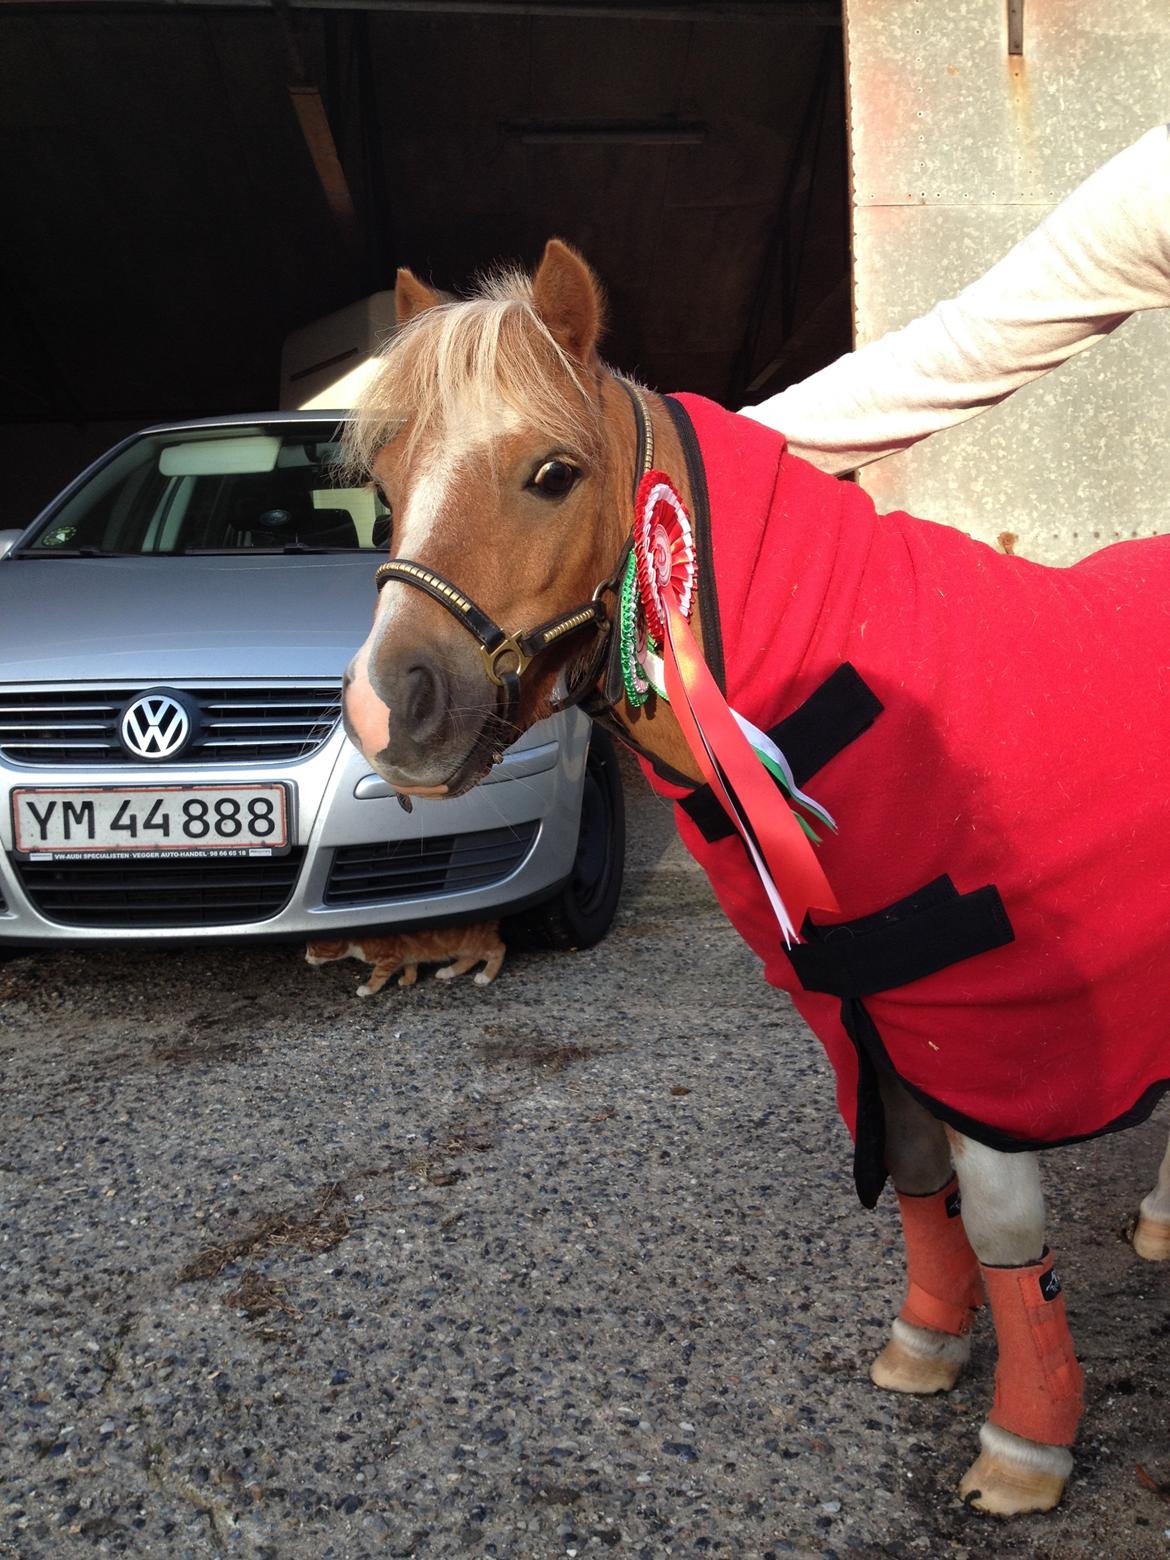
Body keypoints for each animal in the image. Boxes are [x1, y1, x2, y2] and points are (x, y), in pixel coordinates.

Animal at [304, 917, 505, 992]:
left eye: (312, 950)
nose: (305, 958)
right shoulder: (407, 953)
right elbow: (410, 967)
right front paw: (408, 979)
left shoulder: (389, 956)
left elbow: (378, 974)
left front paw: (368, 988)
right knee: (470, 958)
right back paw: (449, 971)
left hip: (471, 942)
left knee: (498, 949)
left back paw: (486, 976)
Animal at [338, 240, 1170, 1510]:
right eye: (385, 477)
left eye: (551, 473)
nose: (387, 711)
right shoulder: (865, 1010)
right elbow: (913, 1174)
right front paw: (926, 1346)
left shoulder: (979, 1018)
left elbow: (1000, 1225)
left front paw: (1027, 1444)